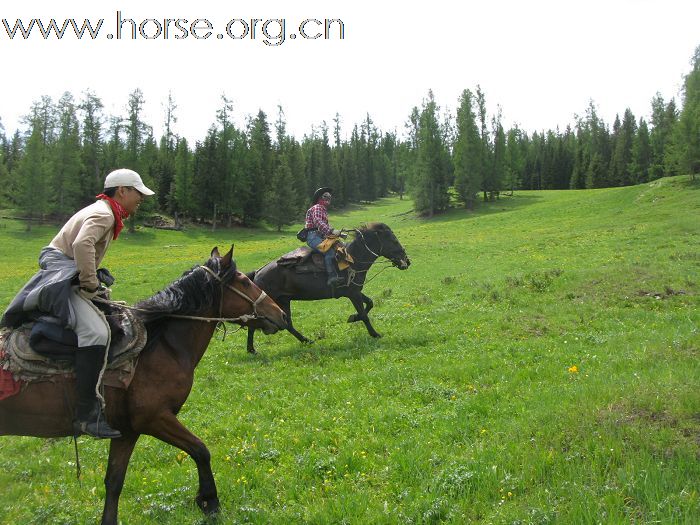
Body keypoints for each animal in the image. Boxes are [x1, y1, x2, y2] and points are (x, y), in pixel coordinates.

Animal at [0, 247, 286, 524]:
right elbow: (200, 450)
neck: (161, 345)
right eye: (243, 281)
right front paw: (209, 502)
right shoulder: (154, 418)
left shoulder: (126, 431)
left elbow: (114, 482)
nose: (281, 314)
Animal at [245, 221, 410, 352]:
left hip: (283, 300)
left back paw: (305, 341)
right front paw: (375, 334)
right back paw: (253, 349)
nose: (406, 261)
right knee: (259, 324)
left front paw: (352, 318)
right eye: (393, 241)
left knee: (287, 323)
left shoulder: (354, 291)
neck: (353, 259)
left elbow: (370, 303)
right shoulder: (353, 294)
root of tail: (258, 273)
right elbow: (364, 314)